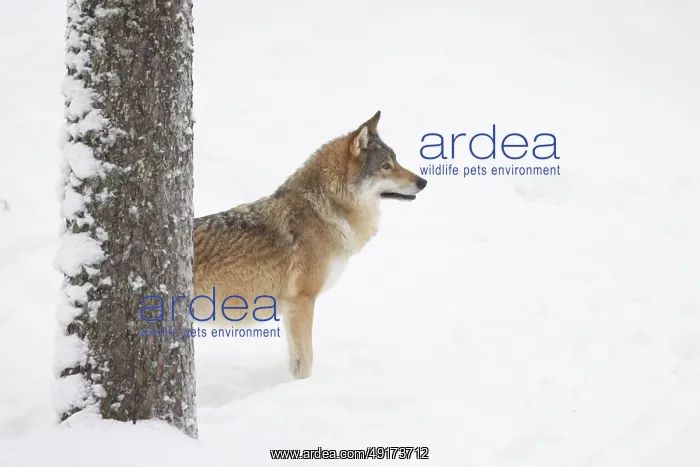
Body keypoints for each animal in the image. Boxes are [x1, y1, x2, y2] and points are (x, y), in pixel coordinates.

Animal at [192, 111, 427, 379]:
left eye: (395, 161)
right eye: (386, 166)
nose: (423, 182)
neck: (325, 211)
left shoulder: (290, 307)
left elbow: (295, 360)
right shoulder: (302, 300)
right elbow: (306, 359)